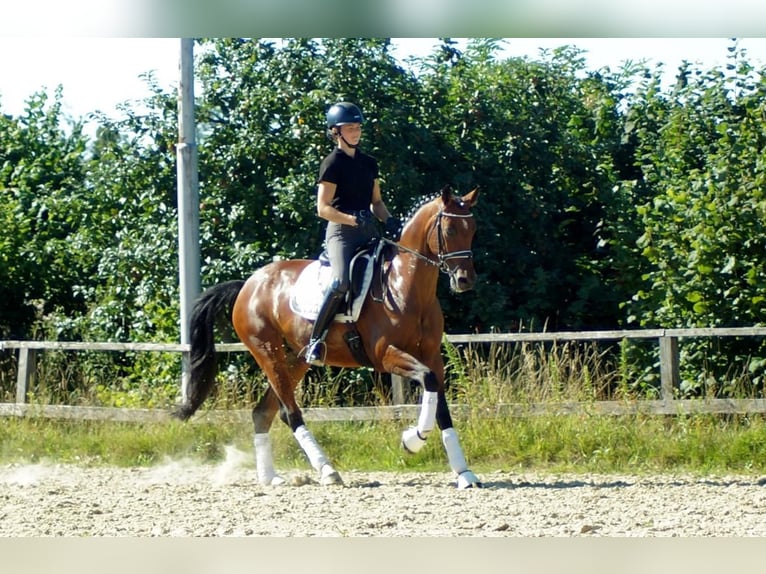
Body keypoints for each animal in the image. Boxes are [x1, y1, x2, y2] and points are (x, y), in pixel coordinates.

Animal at [177, 186, 484, 490]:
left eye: (472, 229)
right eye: (450, 229)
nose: (465, 280)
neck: (404, 285)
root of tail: (248, 285)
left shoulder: (431, 356)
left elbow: (440, 404)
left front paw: (464, 474)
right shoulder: (385, 355)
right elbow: (428, 381)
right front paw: (412, 440)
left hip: (296, 357)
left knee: (264, 412)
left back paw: (270, 477)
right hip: (266, 350)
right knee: (289, 412)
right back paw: (327, 470)